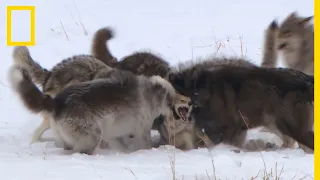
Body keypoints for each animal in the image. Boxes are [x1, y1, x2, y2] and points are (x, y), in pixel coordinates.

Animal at [8, 64, 178, 155]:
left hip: (70, 139)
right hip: (92, 135)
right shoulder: (142, 131)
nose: (177, 117)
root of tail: (57, 103)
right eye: (171, 103)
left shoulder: (114, 135)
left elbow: (123, 147)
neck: (152, 92)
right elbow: (144, 145)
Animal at [169, 58, 314, 153]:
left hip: (292, 128)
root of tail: (307, 80)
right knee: (291, 144)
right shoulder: (238, 129)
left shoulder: (226, 129)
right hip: (276, 124)